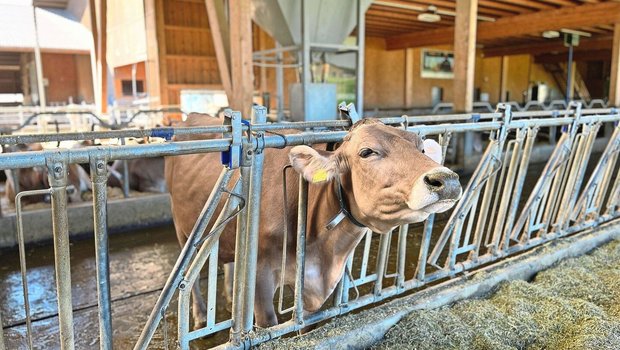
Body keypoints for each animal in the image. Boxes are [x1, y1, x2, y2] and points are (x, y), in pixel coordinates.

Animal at [165, 114, 460, 328]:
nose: (446, 180)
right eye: (366, 152)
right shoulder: (260, 280)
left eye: (421, 148)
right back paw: (200, 315)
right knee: (189, 276)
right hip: (183, 229)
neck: (322, 250)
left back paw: (228, 296)